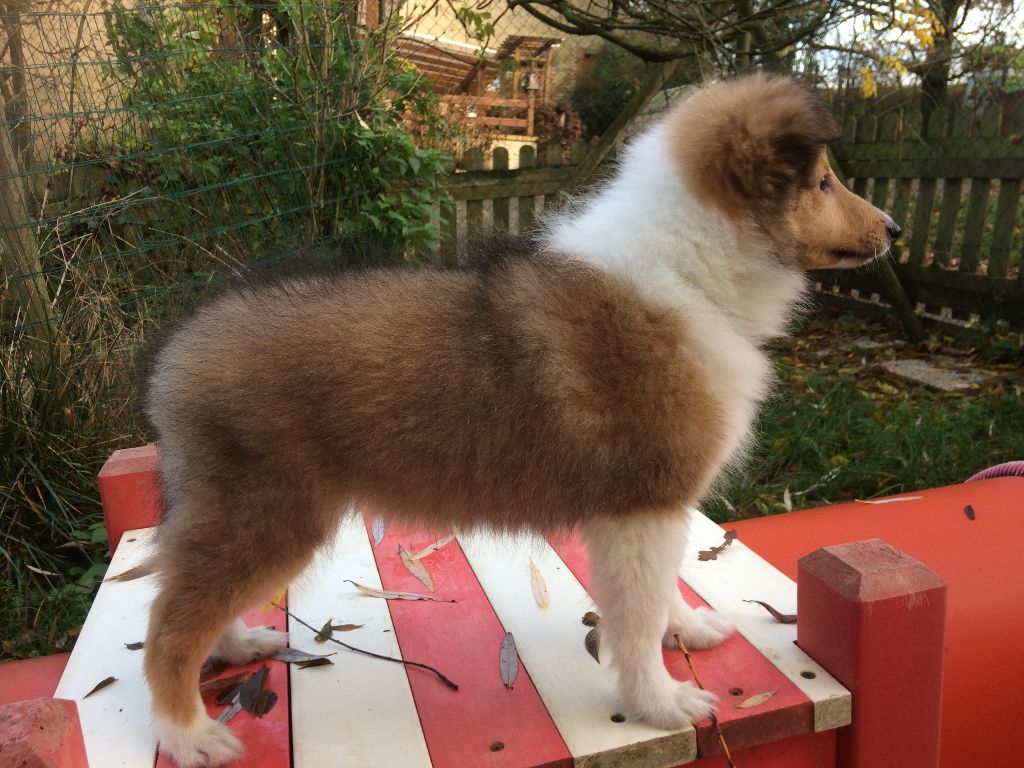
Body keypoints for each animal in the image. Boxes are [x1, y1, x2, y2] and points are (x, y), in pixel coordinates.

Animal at [142, 72, 899, 767]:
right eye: (823, 182)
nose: (893, 229)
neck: (689, 271)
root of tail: (175, 355)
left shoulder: (651, 511)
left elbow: (659, 594)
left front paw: (686, 631)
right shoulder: (642, 505)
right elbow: (637, 613)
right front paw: (660, 703)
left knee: (187, 599)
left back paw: (236, 645)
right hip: (269, 517)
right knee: (167, 626)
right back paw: (190, 734)